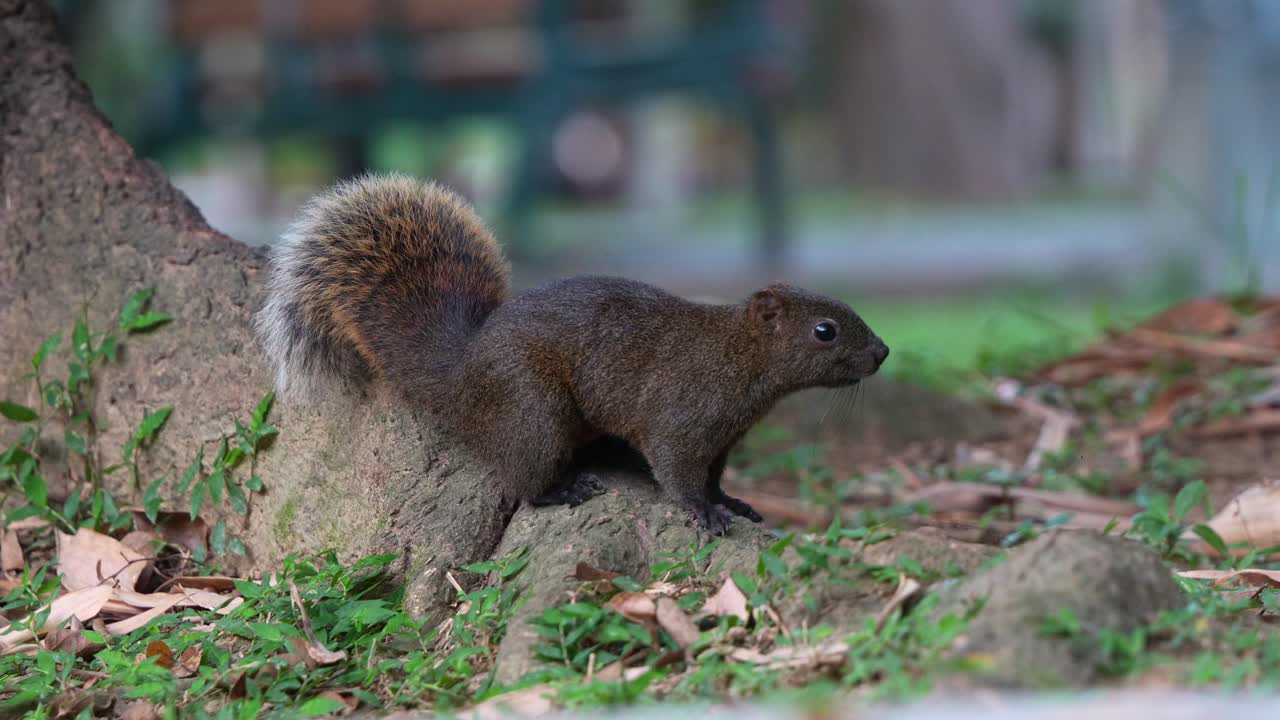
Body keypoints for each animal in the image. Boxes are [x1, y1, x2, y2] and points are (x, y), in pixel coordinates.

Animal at [256, 174, 889, 535]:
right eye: (825, 330)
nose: (883, 353)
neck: (738, 355)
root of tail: (461, 376)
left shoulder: (723, 440)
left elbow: (711, 476)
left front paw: (731, 500)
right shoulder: (683, 420)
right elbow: (677, 473)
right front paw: (706, 514)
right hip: (533, 409)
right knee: (523, 484)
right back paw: (563, 488)